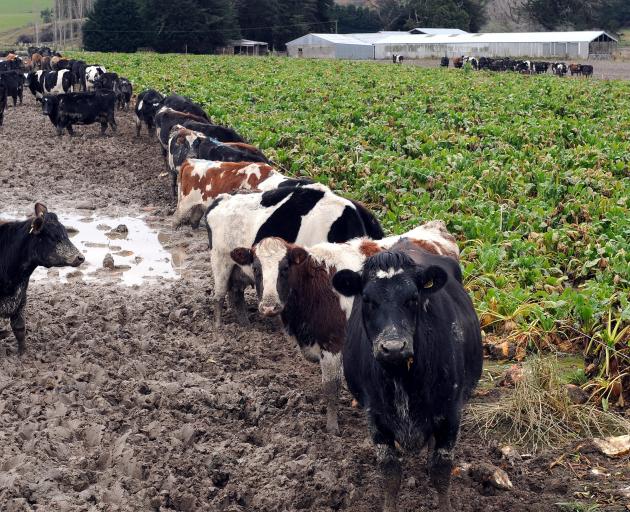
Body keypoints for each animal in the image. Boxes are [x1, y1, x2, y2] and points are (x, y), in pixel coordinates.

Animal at [0, 202, 85, 354]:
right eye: (52, 237)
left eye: (65, 233)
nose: (80, 257)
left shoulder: (21, 298)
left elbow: (19, 328)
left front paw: (23, 354)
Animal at [206, 184, 386, 328]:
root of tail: (222, 198)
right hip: (220, 260)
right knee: (219, 296)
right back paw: (218, 329)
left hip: (238, 268)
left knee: (236, 294)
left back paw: (246, 326)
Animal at [228, 222, 460, 434]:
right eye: (256, 269)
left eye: (284, 268)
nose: (269, 306)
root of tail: (434, 228)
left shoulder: (333, 344)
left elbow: (331, 387)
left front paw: (332, 428)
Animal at [330, 240, 484, 512]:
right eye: (367, 299)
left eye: (413, 298)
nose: (393, 347)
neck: (401, 376)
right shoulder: (376, 419)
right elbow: (390, 475)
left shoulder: (450, 415)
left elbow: (440, 472)